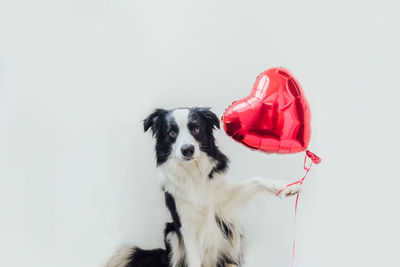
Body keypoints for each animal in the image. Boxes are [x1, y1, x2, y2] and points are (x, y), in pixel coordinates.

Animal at [106, 108, 300, 266]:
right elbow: (193, 258)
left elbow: (256, 180)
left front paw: (286, 187)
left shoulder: (222, 202)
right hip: (171, 233)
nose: (187, 149)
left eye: (196, 129)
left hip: (231, 230)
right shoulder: (186, 225)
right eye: (172, 132)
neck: (194, 172)